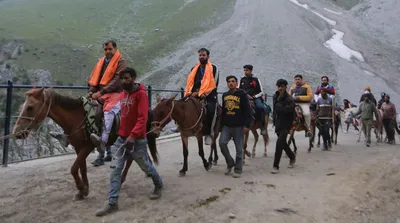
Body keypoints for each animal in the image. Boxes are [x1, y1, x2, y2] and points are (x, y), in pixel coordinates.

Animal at [11, 88, 158, 199]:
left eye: (30, 107)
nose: (17, 132)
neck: (76, 117)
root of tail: (146, 109)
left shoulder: (88, 146)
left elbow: (73, 168)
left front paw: (81, 188)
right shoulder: (78, 147)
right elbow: (82, 168)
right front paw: (84, 190)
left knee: (131, 158)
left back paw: (123, 179)